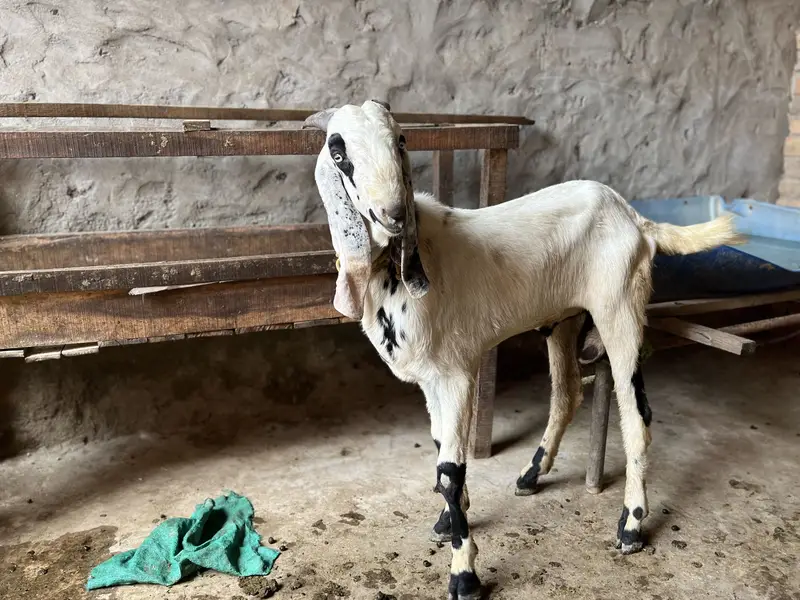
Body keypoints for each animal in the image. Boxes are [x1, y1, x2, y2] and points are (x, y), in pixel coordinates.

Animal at [303, 100, 741, 600]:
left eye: (401, 142)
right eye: (339, 153)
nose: (393, 214)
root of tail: (637, 221)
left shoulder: (457, 373)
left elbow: (451, 469)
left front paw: (464, 574)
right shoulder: (432, 379)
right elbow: (439, 448)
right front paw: (446, 521)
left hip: (620, 312)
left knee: (638, 415)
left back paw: (630, 526)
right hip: (564, 320)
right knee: (567, 394)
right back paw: (532, 475)